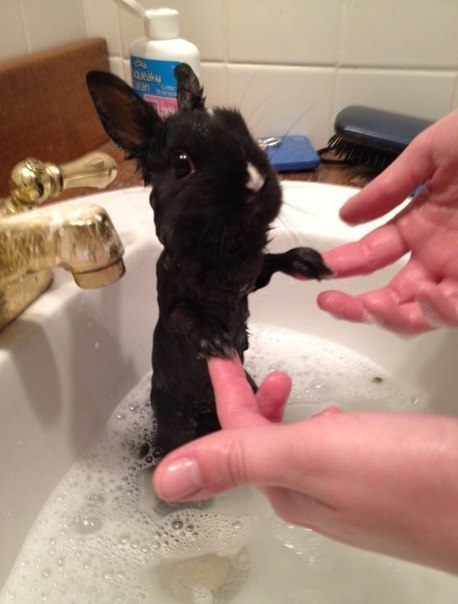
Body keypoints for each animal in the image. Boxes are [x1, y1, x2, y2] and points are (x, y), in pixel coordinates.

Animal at [86, 64, 332, 457]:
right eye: (180, 163)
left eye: (242, 130)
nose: (255, 181)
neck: (221, 250)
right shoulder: (171, 299)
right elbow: (183, 315)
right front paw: (214, 340)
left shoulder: (251, 279)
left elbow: (272, 262)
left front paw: (310, 262)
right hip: (175, 420)